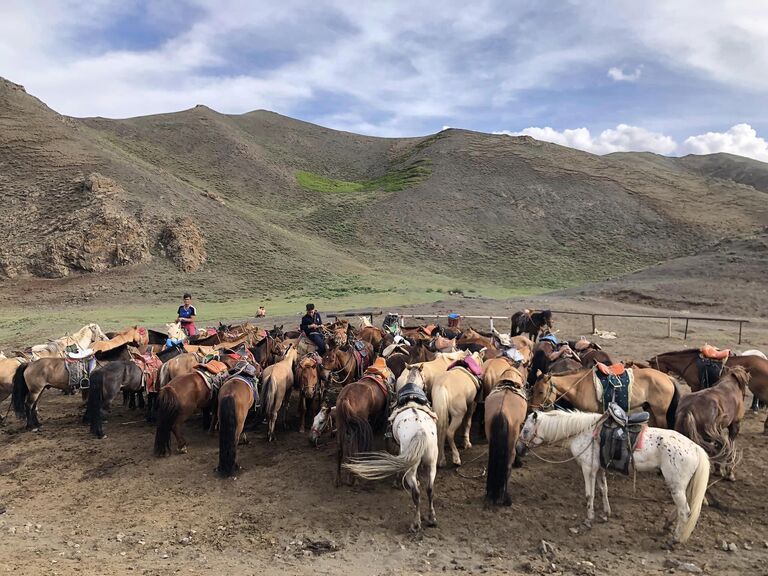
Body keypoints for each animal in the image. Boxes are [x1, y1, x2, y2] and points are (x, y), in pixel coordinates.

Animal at [342, 400, 438, 532]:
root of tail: (420, 431)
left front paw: (396, 482)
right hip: (432, 464)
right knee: (430, 489)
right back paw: (432, 518)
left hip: (411, 468)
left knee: (416, 493)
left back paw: (415, 523)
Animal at [520, 412, 708, 544]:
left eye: (526, 430)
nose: (519, 448)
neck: (584, 431)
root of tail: (695, 448)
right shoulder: (600, 469)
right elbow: (603, 489)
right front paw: (605, 514)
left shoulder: (588, 469)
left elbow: (589, 494)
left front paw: (588, 520)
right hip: (680, 486)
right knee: (681, 508)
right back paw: (667, 525)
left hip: (675, 485)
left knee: (685, 511)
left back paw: (674, 539)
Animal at [528, 364, 680, 428]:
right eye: (532, 389)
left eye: (541, 392)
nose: (532, 409)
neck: (579, 386)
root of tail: (667, 377)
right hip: (649, 408)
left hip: (660, 413)